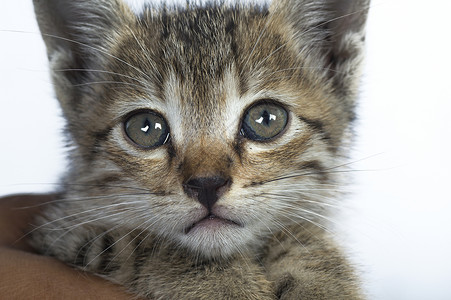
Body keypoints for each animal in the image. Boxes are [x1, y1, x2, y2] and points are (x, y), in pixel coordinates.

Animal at [30, 0, 370, 298]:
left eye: (266, 119)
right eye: (145, 127)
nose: (207, 184)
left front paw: (323, 280)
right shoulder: (61, 230)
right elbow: (141, 245)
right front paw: (227, 285)